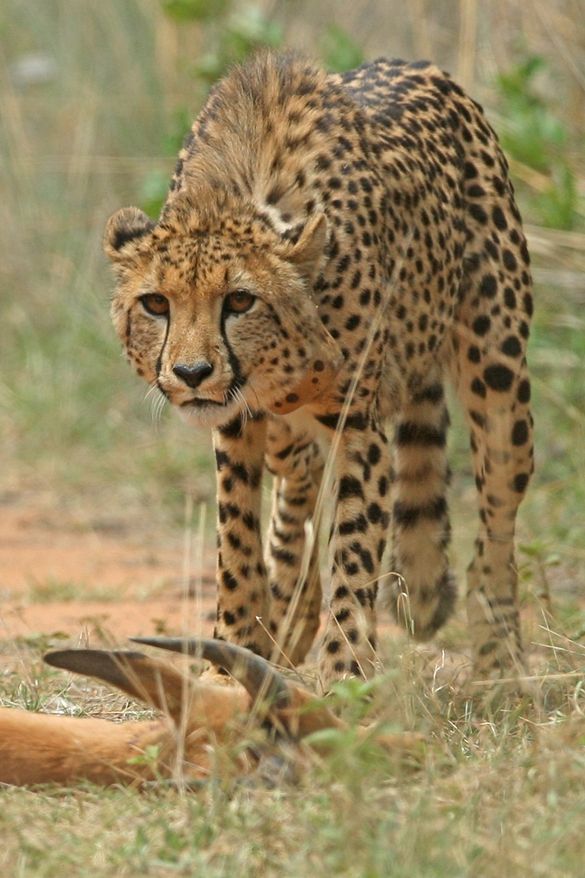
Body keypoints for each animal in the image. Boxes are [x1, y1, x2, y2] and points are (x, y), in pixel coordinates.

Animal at [104, 51, 534, 689]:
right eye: (156, 303)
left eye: (240, 300)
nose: (191, 371)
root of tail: (417, 64)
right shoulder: (237, 426)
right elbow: (237, 546)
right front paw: (228, 658)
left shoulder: (359, 427)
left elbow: (352, 554)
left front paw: (346, 676)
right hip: (290, 436)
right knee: (296, 492)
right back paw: (284, 620)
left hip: (499, 377)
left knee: (497, 524)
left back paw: (498, 659)